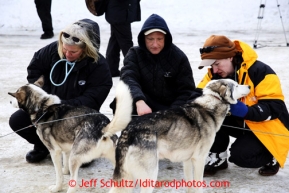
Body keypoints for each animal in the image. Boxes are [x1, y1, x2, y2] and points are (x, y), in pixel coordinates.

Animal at [104, 79, 249, 193]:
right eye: (236, 85)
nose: (248, 86)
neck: (211, 105)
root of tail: (128, 131)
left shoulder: (187, 160)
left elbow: (190, 184)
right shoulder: (199, 159)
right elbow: (198, 185)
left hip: (125, 178)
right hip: (150, 175)